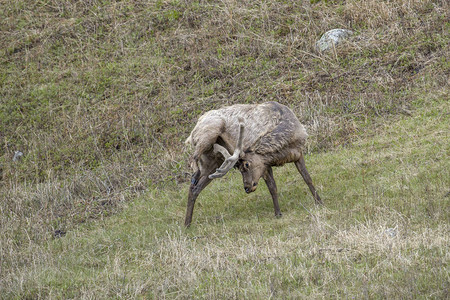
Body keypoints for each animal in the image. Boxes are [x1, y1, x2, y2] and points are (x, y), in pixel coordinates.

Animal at [185, 102, 322, 226]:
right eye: (239, 168)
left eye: (246, 165)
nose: (247, 187)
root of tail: (191, 134)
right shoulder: (265, 164)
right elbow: (272, 187)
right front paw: (278, 213)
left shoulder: (298, 154)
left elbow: (308, 178)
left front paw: (319, 201)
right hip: (210, 133)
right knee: (193, 159)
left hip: (212, 162)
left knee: (195, 188)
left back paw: (187, 223)